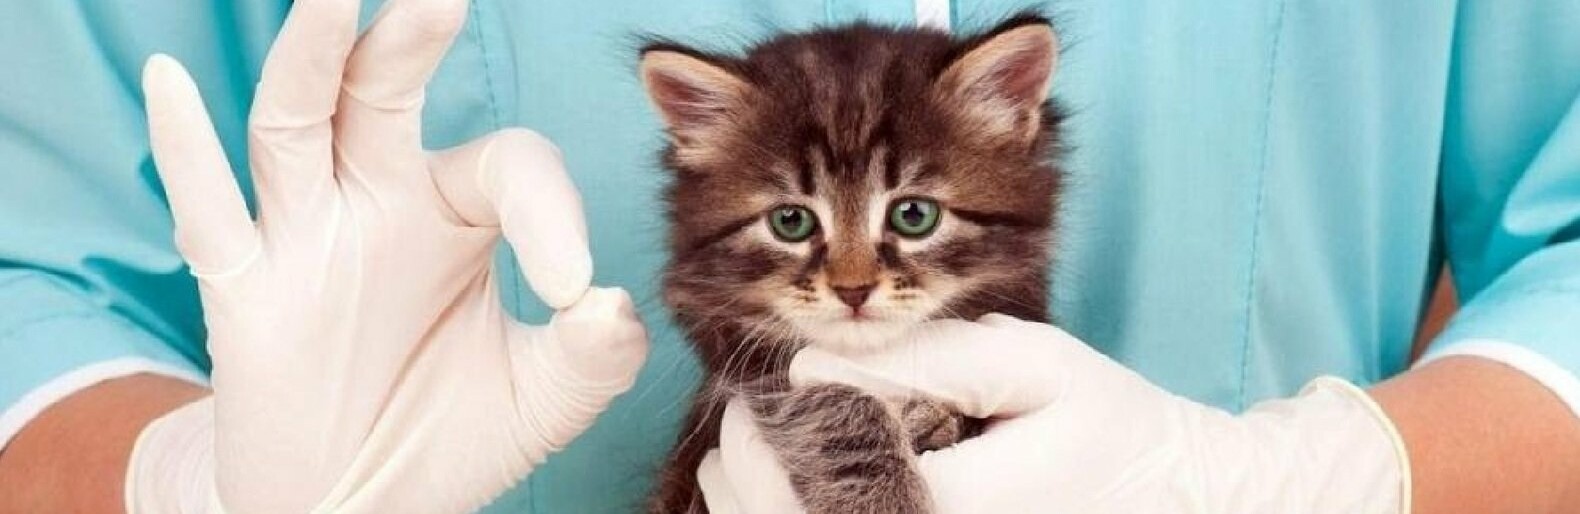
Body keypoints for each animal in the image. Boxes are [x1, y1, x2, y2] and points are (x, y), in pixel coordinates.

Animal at [639, 13, 1064, 513]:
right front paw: (884, 497)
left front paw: (938, 419)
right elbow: (831, 405)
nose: (853, 290)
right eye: (790, 221)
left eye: (914, 215)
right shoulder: (756, 369)